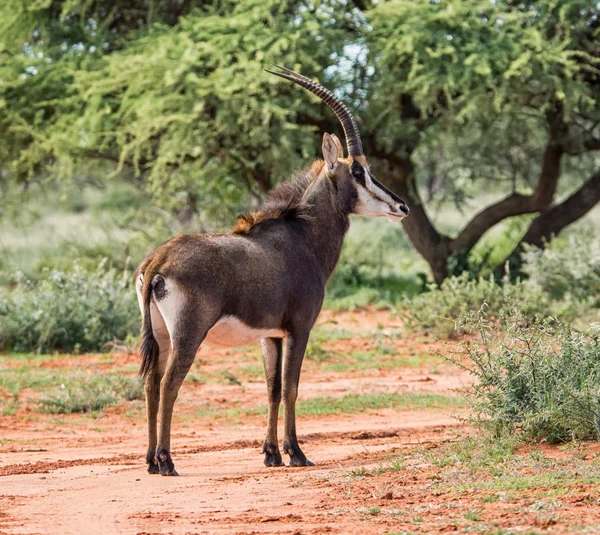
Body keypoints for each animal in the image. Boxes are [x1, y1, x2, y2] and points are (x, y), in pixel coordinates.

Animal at [135, 65, 408, 476]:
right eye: (359, 171)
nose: (401, 206)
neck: (302, 236)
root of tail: (158, 260)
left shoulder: (270, 335)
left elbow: (272, 389)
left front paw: (271, 454)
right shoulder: (299, 328)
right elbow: (292, 387)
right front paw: (296, 453)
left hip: (162, 336)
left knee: (152, 384)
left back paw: (152, 461)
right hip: (187, 334)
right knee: (169, 384)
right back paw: (167, 461)